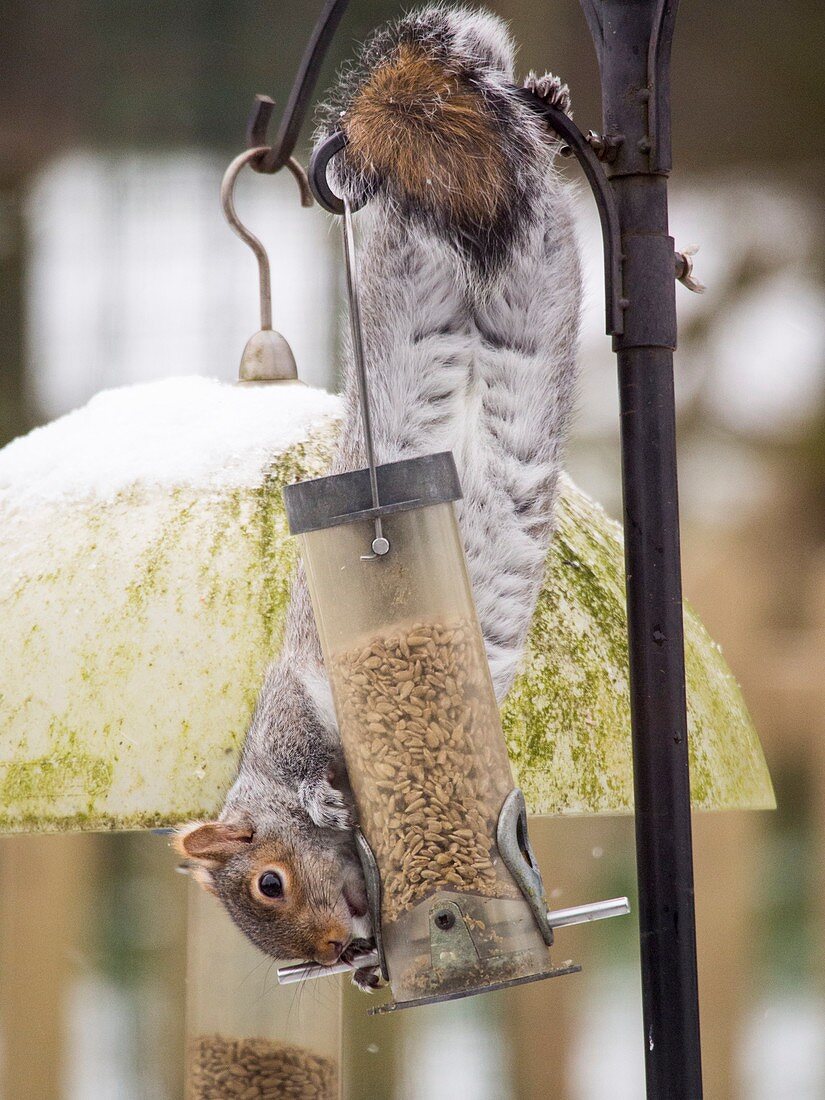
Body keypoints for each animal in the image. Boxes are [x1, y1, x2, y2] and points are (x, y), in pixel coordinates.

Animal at [178, 4, 585, 990]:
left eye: (270, 884)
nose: (337, 949)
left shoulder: (297, 708)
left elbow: (312, 761)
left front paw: (324, 800)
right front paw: (369, 970)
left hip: (415, 250)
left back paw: (542, 98)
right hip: (532, 278)